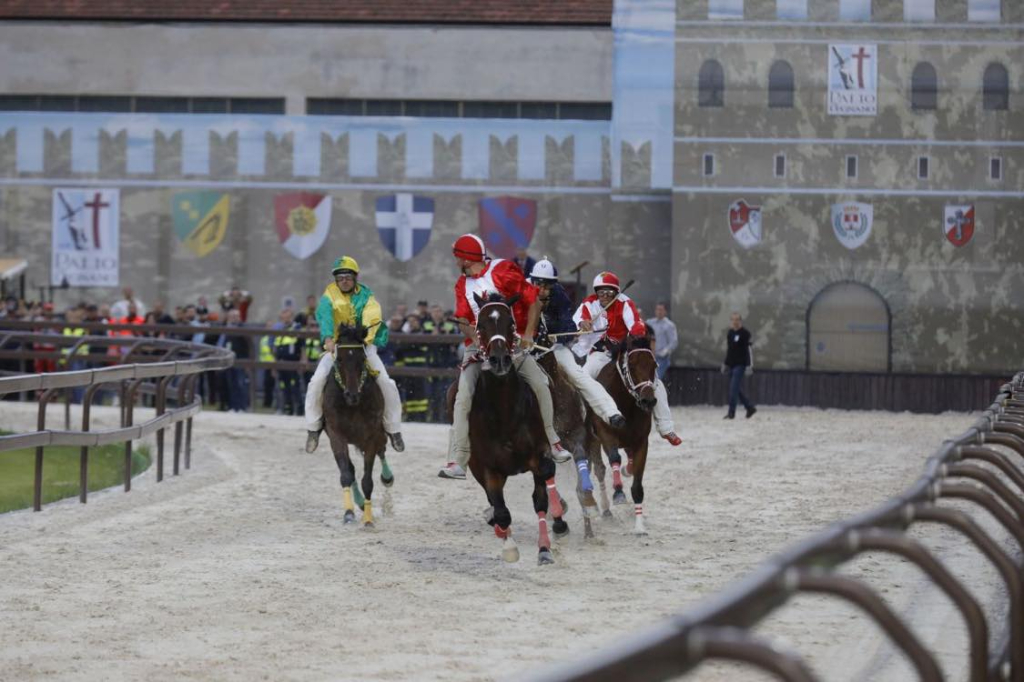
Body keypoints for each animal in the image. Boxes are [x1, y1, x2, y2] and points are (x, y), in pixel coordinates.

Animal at [325, 321, 393, 522]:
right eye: (339, 360)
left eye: (362, 359)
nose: (352, 395)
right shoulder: (335, 435)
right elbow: (346, 474)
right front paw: (348, 512)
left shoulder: (371, 436)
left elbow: (367, 480)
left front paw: (368, 520)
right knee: (351, 468)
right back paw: (360, 503)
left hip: (378, 435)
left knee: (382, 451)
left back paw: (387, 477)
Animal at [460, 292, 573, 561]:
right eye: (480, 325)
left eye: (510, 324)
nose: (499, 360)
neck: (505, 410)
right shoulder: (486, 466)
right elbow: (501, 510)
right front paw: (509, 546)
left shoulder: (538, 451)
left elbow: (542, 489)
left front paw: (546, 547)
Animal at [585, 331, 655, 532]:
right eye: (632, 364)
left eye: (654, 365)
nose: (648, 401)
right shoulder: (605, 433)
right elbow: (614, 457)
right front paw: (618, 492)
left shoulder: (641, 442)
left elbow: (637, 486)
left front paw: (640, 527)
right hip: (590, 439)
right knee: (598, 468)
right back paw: (597, 507)